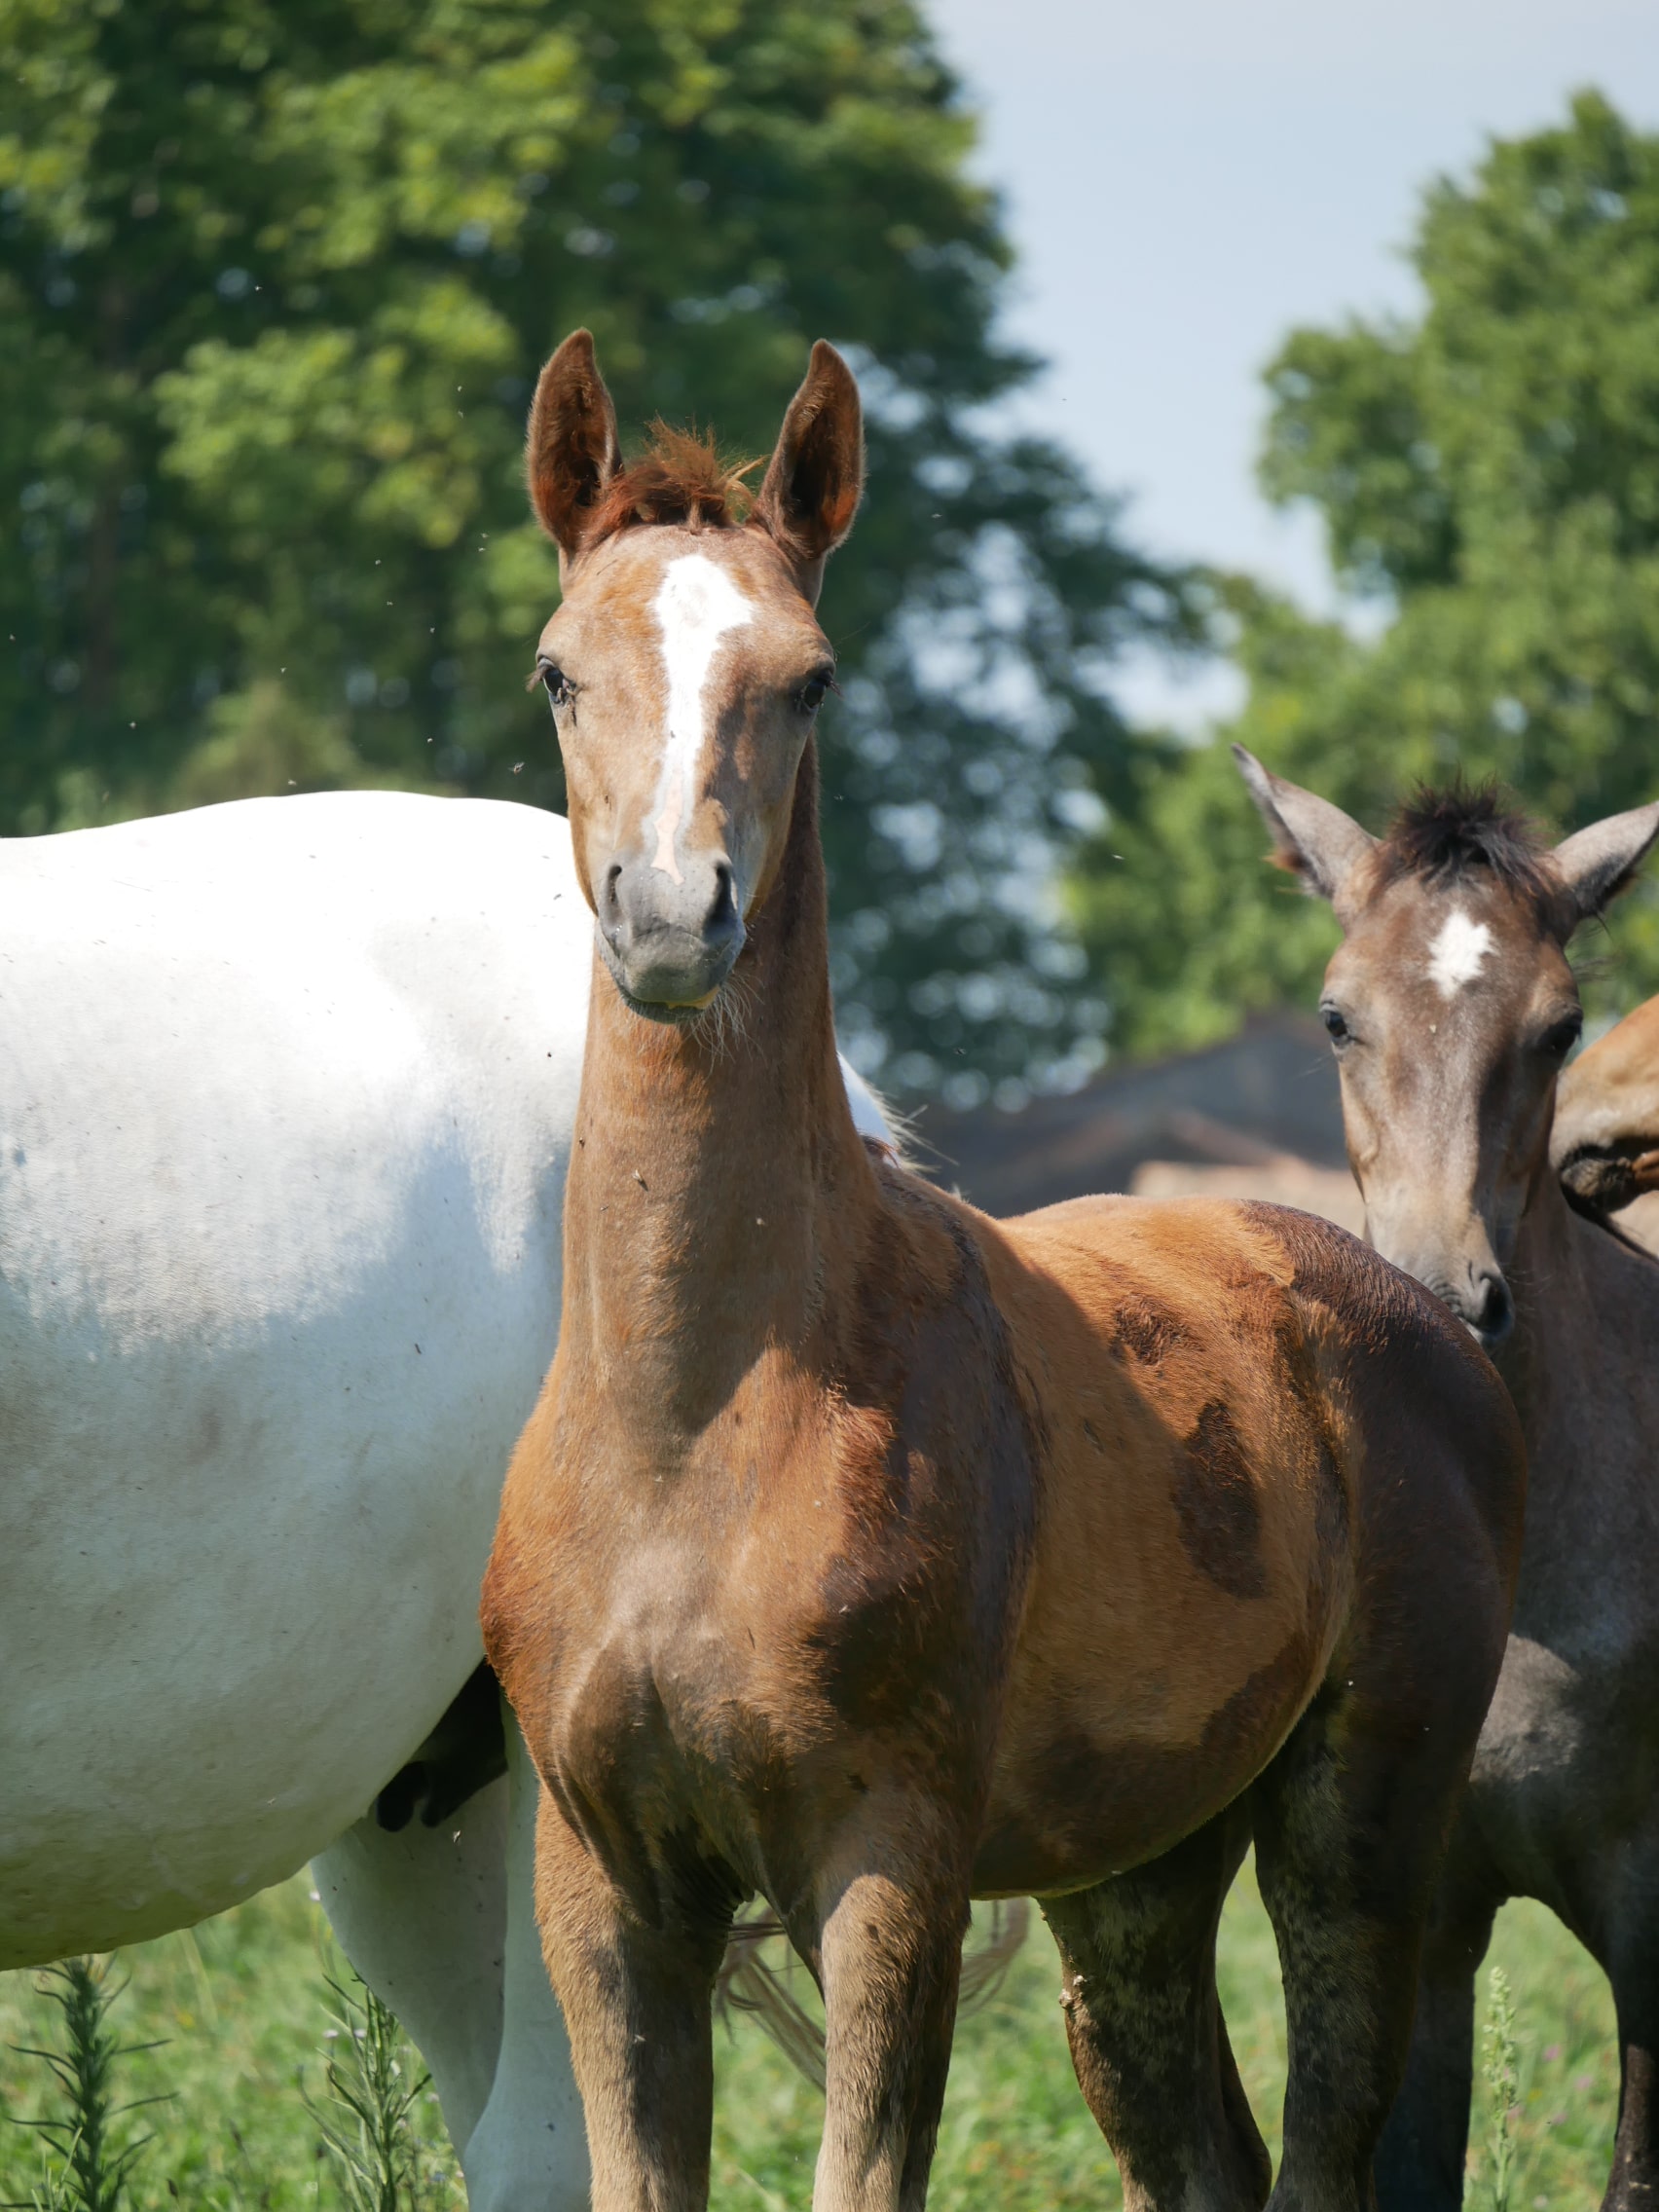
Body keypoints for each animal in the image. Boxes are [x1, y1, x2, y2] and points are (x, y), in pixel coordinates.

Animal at [480, 330, 1526, 2212]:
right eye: (554, 671)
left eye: (810, 679)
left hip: (1356, 1825)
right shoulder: (605, 1885)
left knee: (1325, 2135)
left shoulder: (888, 1862)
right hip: (1136, 1867)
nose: (673, 918)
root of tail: (1420, 1315)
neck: (696, 1421)